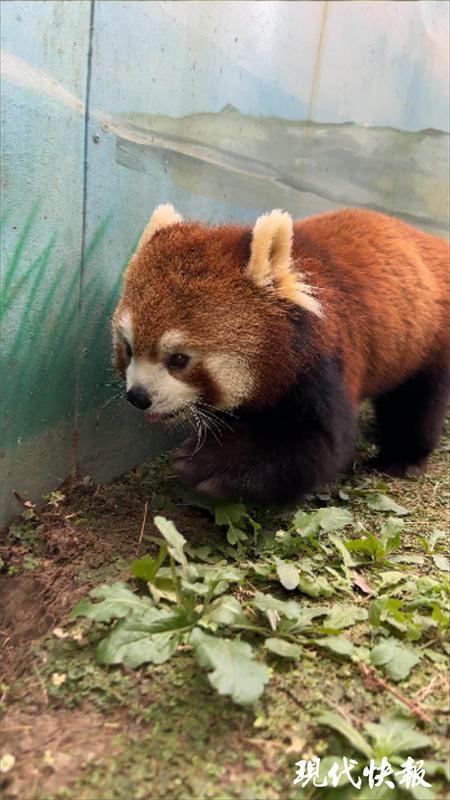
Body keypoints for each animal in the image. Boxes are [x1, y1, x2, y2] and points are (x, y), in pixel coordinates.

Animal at [112, 200, 450, 504]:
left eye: (179, 359)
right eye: (128, 349)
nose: (138, 396)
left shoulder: (324, 362)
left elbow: (320, 444)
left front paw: (217, 464)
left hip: (430, 340)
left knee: (417, 403)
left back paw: (402, 457)